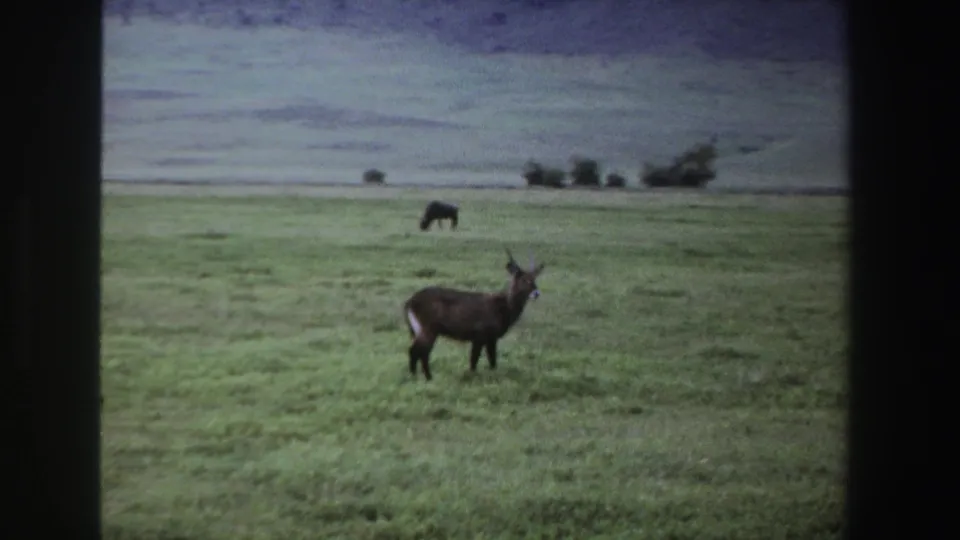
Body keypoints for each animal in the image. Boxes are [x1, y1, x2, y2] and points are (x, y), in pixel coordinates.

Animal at [402, 248, 546, 380]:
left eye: (534, 278)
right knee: (417, 351)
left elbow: (492, 361)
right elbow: (475, 360)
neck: (503, 305)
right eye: (524, 279)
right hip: (428, 329)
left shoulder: (491, 339)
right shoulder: (480, 337)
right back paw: (425, 377)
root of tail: (410, 301)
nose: (536, 293)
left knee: (419, 351)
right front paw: (473, 377)